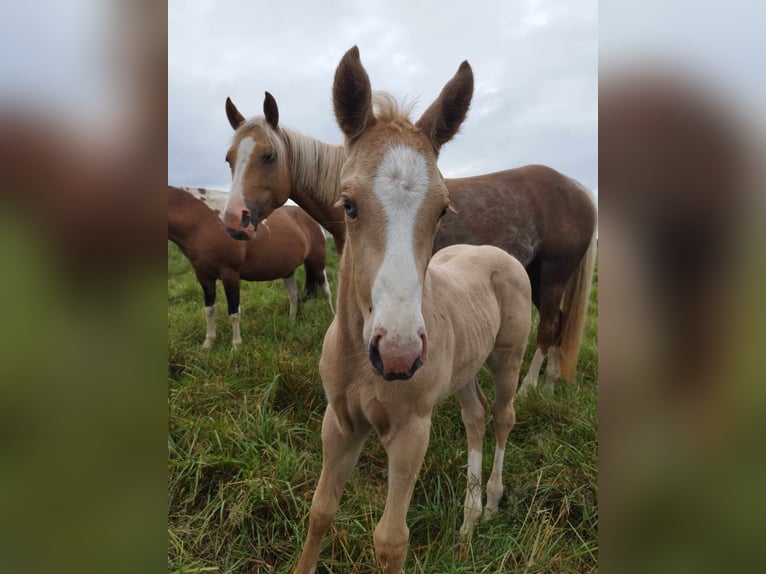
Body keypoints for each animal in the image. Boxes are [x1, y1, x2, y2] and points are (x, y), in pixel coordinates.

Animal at [168, 187, 332, 348]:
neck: (203, 221)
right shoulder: (204, 276)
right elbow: (209, 310)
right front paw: (208, 343)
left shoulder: (230, 275)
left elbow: (234, 313)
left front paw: (236, 346)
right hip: (287, 271)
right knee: (293, 296)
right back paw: (291, 323)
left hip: (317, 265)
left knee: (326, 291)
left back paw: (332, 319)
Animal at [222, 92, 600, 396]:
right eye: (229, 158)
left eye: (268, 156)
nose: (233, 219)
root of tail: (578, 188)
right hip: (535, 276)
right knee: (560, 324)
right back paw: (550, 382)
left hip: (552, 277)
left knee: (549, 326)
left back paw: (530, 387)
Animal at [294, 46, 536, 574]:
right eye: (347, 204)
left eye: (443, 209)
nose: (399, 355)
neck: (361, 363)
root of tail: (497, 252)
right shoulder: (338, 423)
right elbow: (320, 511)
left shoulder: (411, 432)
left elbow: (391, 541)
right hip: (464, 368)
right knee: (475, 416)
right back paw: (466, 524)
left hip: (507, 358)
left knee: (503, 416)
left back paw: (490, 502)